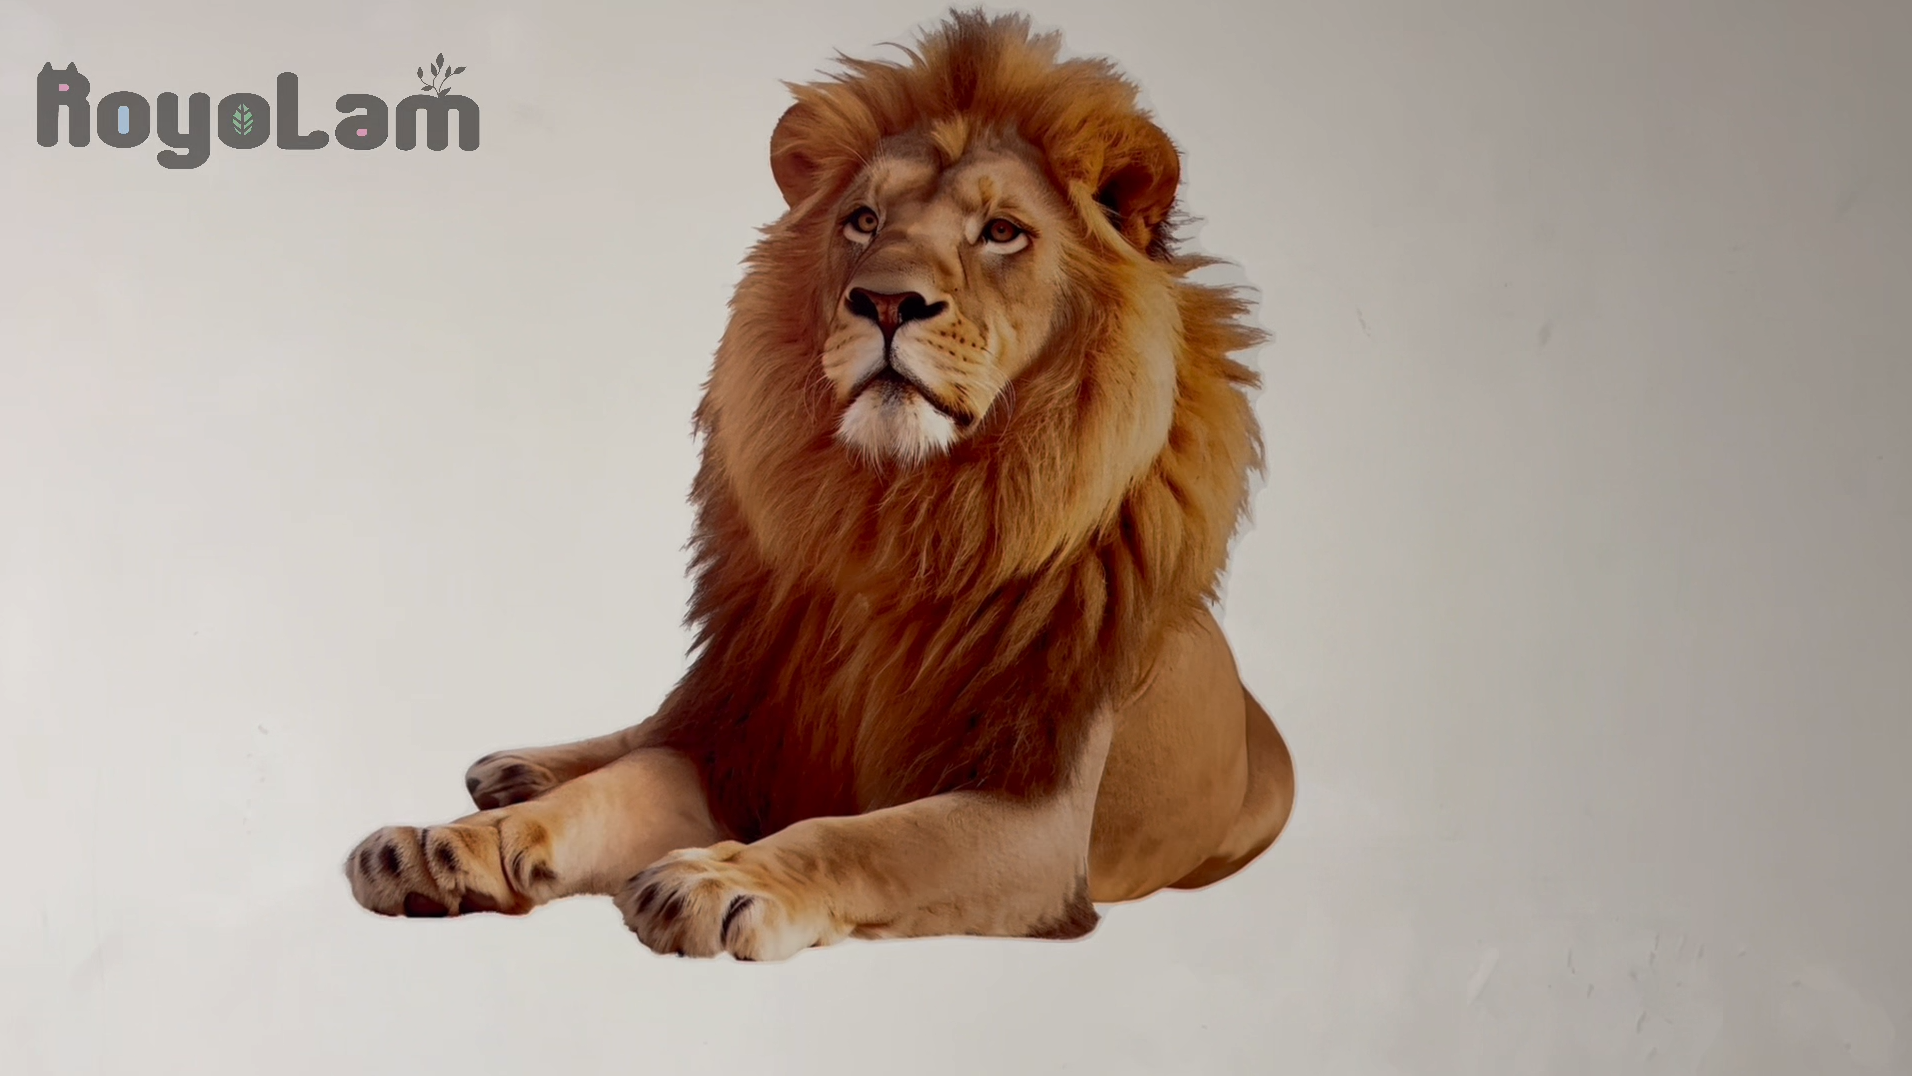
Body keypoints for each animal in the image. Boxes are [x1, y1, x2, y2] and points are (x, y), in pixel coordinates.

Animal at [343, 8, 1294, 961]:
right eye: (862, 220)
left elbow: (864, 838)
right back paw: (514, 772)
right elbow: (617, 784)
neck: (904, 510)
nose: (885, 302)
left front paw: (716, 877)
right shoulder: (750, 744)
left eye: (1002, 232)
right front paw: (450, 846)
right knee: (655, 724)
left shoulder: (1039, 816)